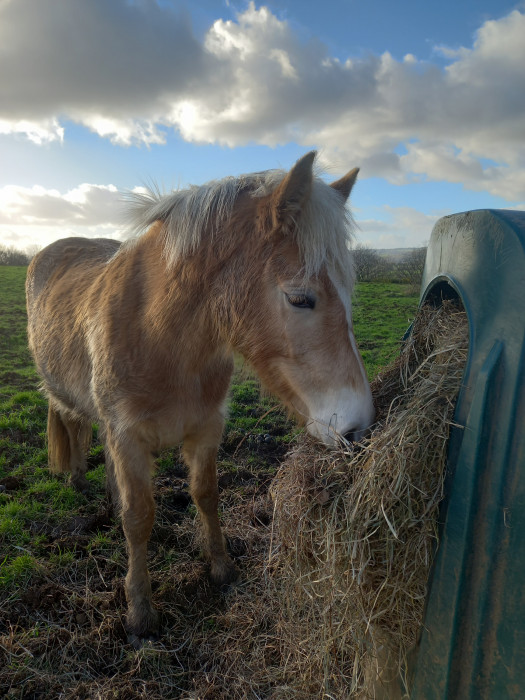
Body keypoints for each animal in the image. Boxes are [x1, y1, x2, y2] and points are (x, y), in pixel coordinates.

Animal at [26, 152, 374, 640]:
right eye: (300, 298)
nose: (358, 425)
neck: (160, 336)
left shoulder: (207, 428)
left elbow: (206, 494)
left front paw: (221, 568)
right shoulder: (128, 436)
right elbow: (139, 517)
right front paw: (140, 612)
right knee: (74, 425)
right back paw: (76, 478)